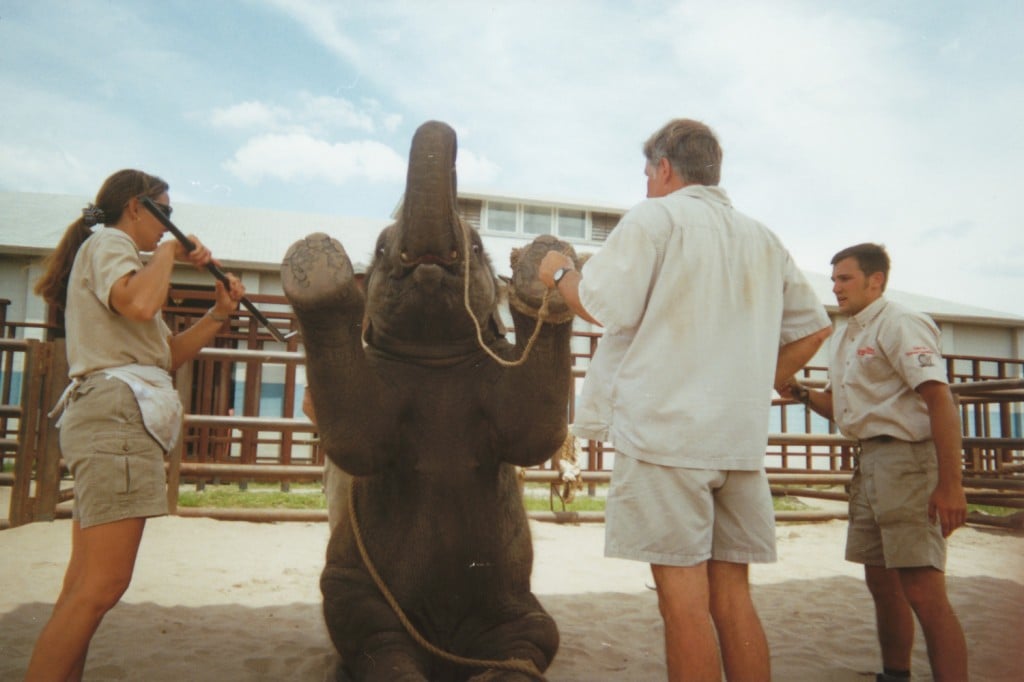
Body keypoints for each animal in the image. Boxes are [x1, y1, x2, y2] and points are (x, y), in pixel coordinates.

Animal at [281, 120, 578, 681]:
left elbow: (533, 431)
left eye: (479, 246)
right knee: (376, 640)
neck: (436, 360)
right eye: (379, 251)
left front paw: (543, 262)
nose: (442, 127)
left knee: (533, 636)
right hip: (355, 589)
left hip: (514, 602)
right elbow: (355, 439)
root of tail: (445, 652)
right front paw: (316, 263)